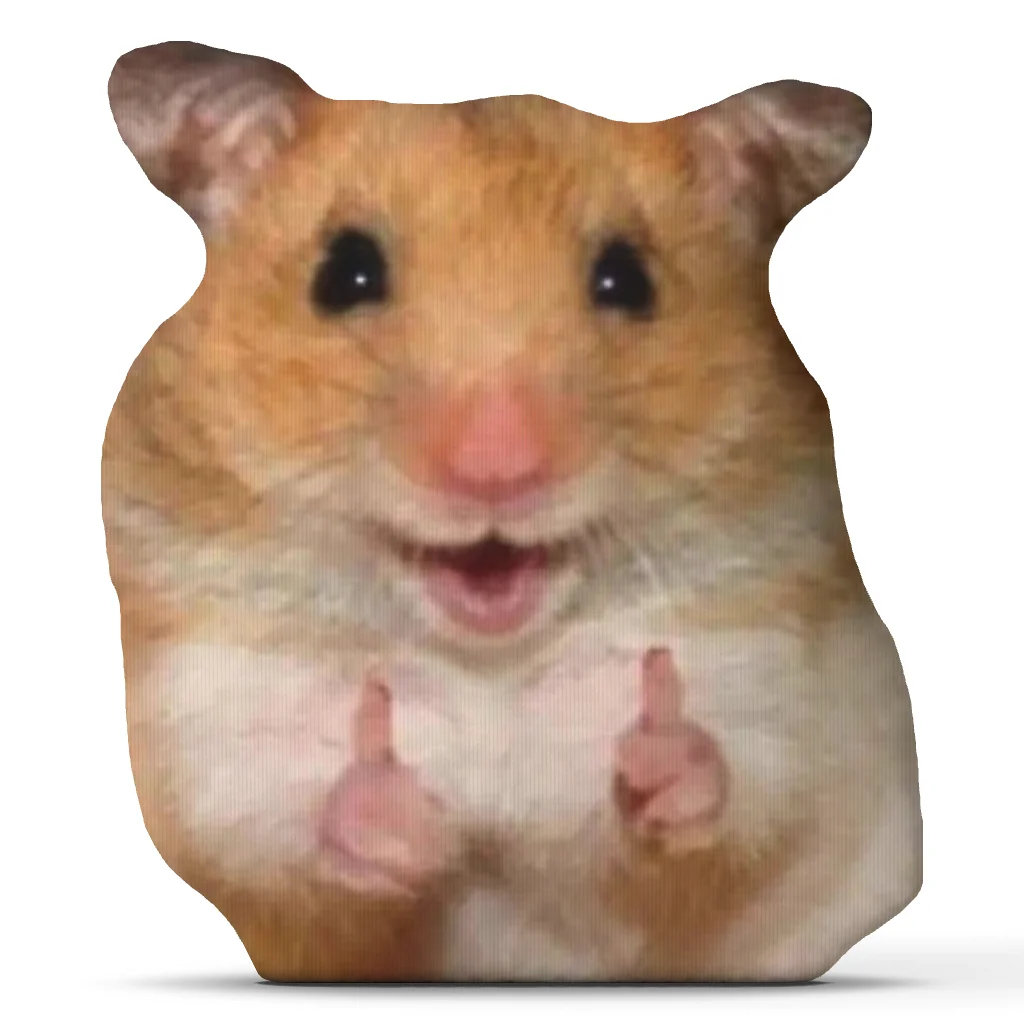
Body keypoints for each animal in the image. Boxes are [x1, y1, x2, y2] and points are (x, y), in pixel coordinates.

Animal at [103, 41, 921, 982]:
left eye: (628, 279)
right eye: (343, 272)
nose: (496, 470)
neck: (486, 662)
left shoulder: (770, 683)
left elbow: (731, 796)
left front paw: (656, 750)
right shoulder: (210, 724)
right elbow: (284, 831)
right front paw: (406, 816)